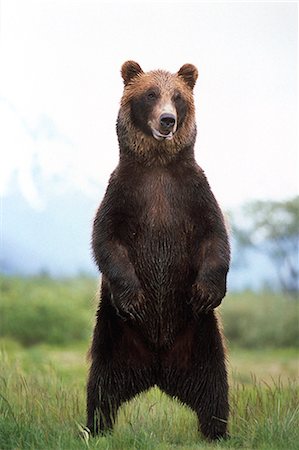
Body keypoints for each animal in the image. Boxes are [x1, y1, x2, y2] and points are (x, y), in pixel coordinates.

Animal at [86, 61, 232, 442]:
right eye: (151, 94)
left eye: (177, 96)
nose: (168, 120)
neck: (158, 165)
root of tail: (157, 367)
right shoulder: (125, 192)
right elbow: (106, 239)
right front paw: (135, 297)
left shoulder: (191, 193)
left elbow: (216, 236)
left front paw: (207, 291)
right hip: (114, 335)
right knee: (102, 387)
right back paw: (96, 428)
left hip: (201, 338)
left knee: (214, 387)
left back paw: (217, 431)